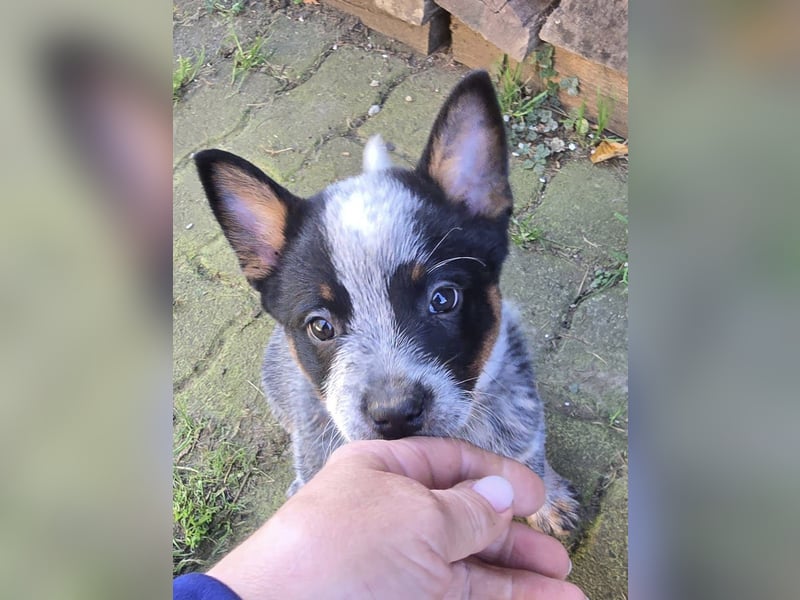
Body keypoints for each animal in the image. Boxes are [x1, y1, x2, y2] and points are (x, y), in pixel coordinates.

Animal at [195, 70, 580, 536]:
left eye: (443, 298)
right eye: (320, 326)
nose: (394, 414)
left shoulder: (519, 414)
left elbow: (528, 455)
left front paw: (548, 497)